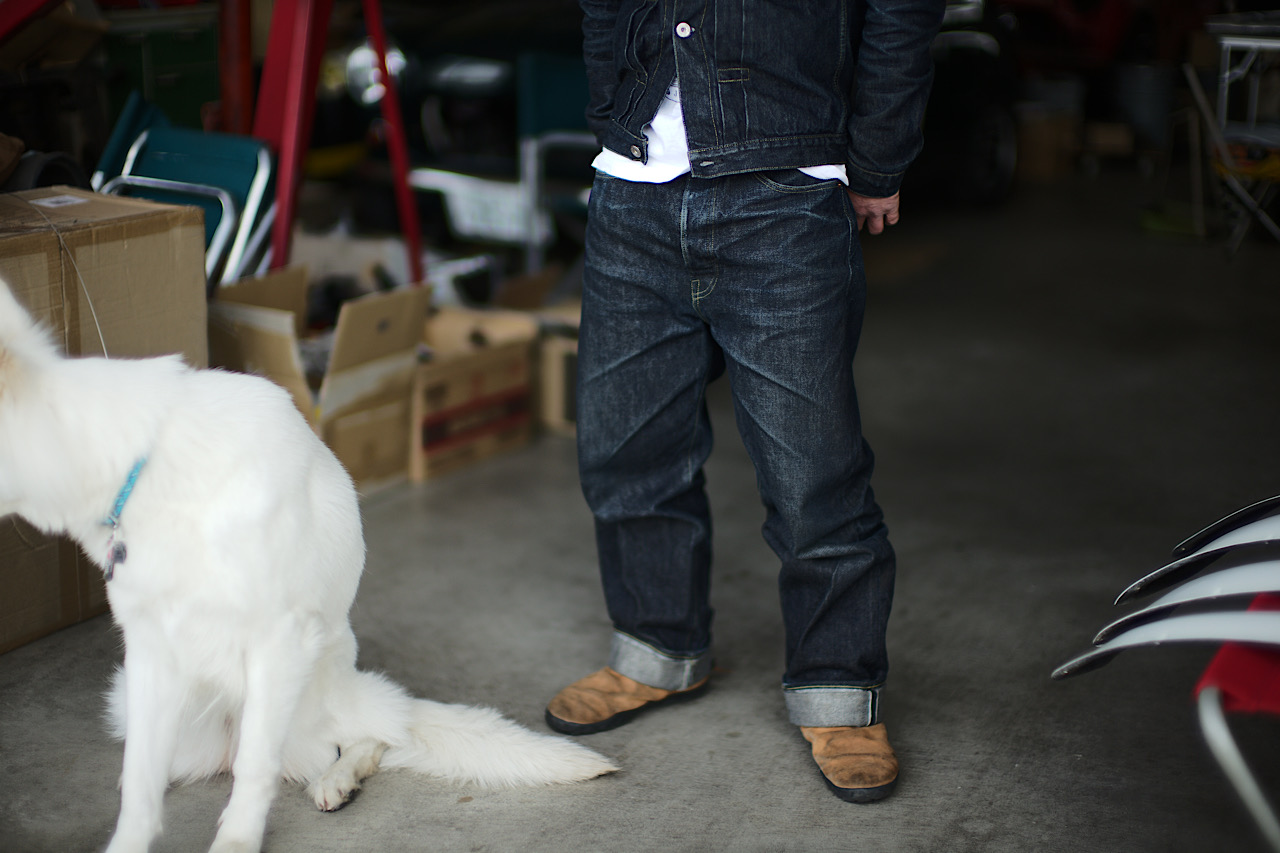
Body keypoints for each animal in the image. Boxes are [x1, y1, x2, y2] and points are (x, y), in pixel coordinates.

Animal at [0, 281, 616, 853]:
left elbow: (256, 771)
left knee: (376, 735)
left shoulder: (278, 641)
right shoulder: (152, 654)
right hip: (140, 707)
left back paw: (338, 780)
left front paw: (236, 842)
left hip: (309, 703)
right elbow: (139, 782)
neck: (153, 469)